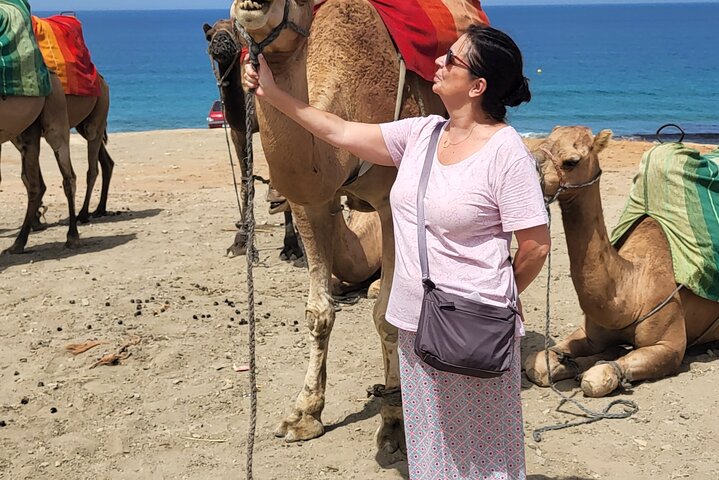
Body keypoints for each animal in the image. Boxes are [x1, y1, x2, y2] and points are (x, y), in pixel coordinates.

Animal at [524, 126, 719, 397]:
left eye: (571, 161)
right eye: (537, 147)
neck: (632, 290)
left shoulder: (669, 346)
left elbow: (596, 377)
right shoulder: (589, 332)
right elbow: (538, 364)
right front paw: (573, 361)